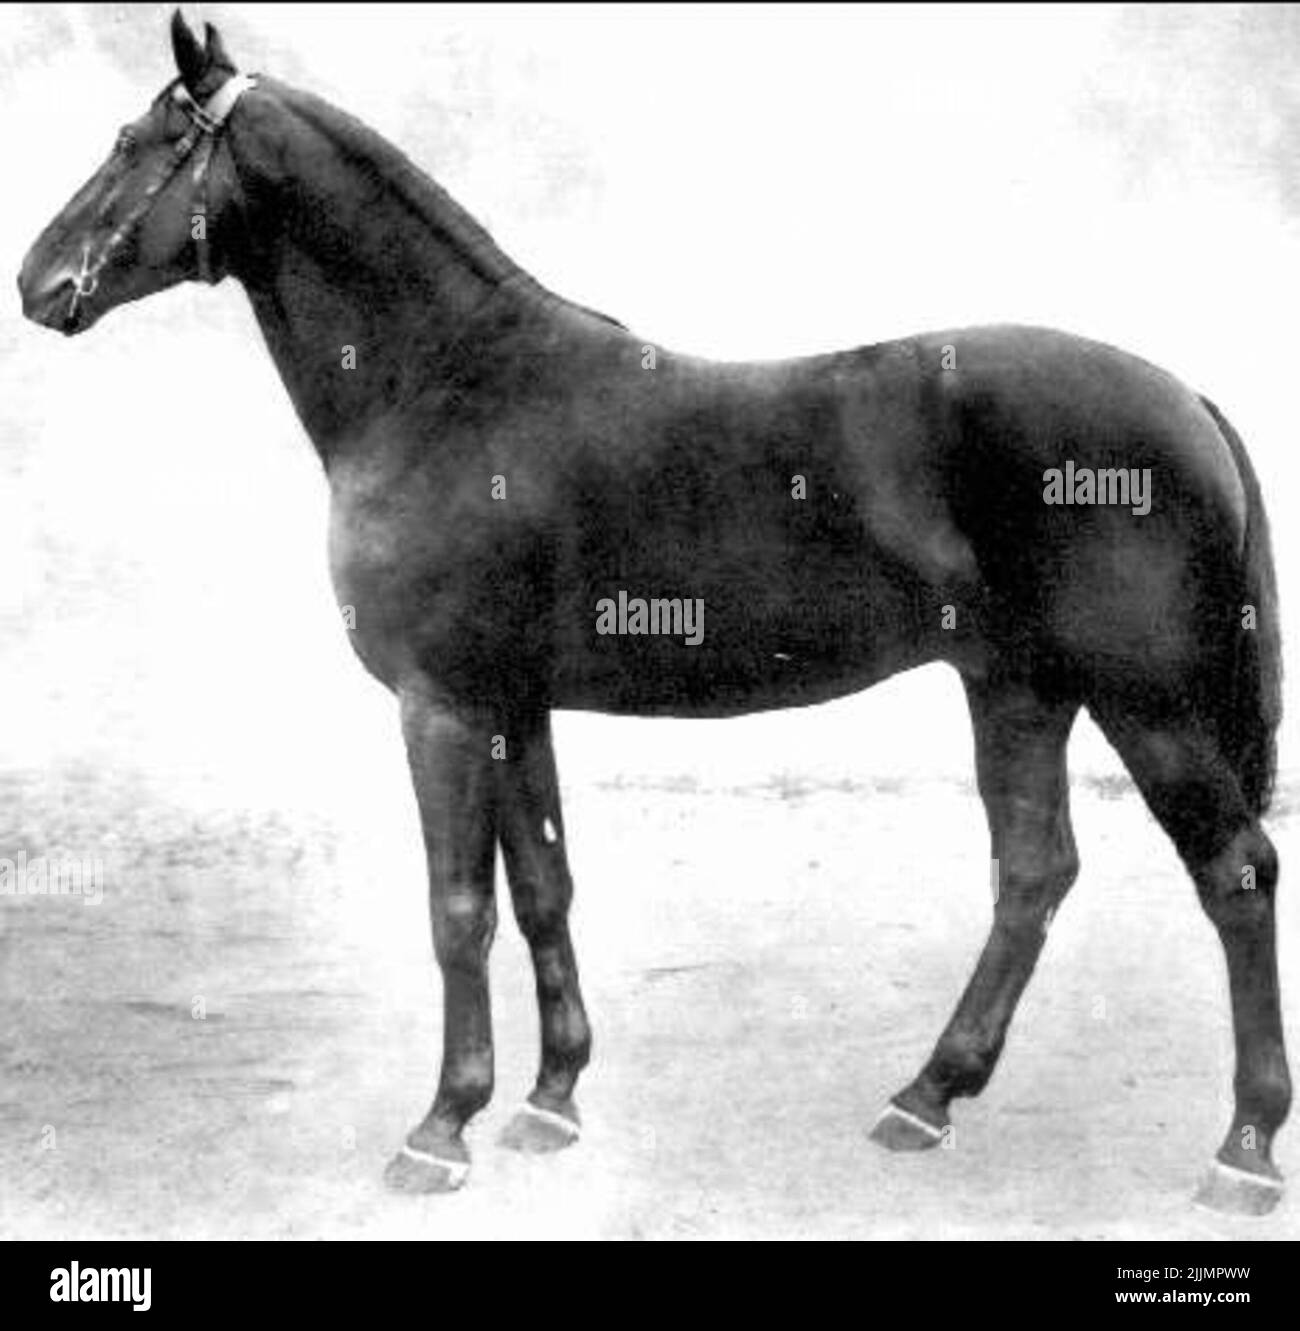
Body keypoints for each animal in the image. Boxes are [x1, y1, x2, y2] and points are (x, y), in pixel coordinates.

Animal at [18, 11, 1288, 1215]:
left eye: (137, 143)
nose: (35, 283)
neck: (444, 385)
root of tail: (1189, 400)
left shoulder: (442, 705)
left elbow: (457, 908)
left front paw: (440, 1127)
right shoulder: (512, 705)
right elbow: (542, 887)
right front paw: (549, 1100)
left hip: (1146, 704)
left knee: (1234, 873)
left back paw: (1242, 1150)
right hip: (1019, 687)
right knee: (1032, 873)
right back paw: (925, 1097)